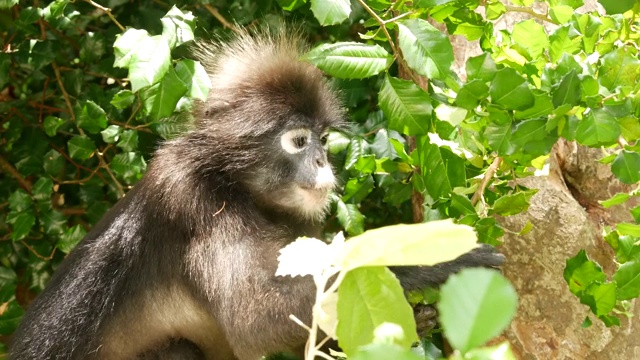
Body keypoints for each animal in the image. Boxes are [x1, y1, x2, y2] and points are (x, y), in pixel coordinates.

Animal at [7, 28, 502, 360]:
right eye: (299, 142)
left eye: (324, 140)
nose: (323, 163)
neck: (235, 184)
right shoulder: (192, 199)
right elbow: (252, 316)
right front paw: (429, 252)